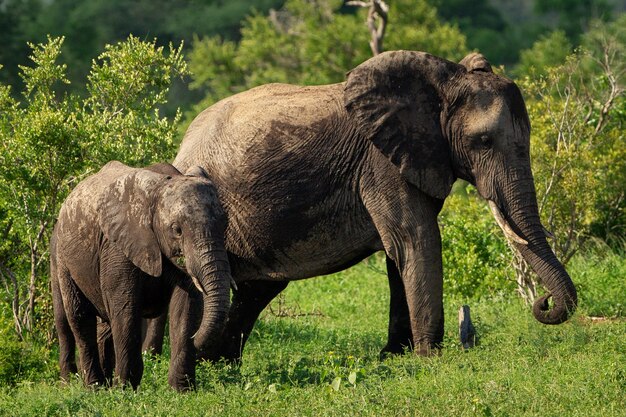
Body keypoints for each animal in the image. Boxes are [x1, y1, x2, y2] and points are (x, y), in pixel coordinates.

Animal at [50, 160, 232, 390]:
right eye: (177, 230)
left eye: (224, 225)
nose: (197, 338)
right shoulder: (117, 247)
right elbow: (126, 309)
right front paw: (125, 390)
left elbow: (186, 307)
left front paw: (182, 390)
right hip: (61, 258)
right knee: (75, 318)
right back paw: (87, 386)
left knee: (103, 326)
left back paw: (104, 384)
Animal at [167, 50, 576, 360]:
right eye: (484, 141)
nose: (542, 303)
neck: (443, 81)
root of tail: (183, 147)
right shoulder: (382, 164)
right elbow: (416, 239)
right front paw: (429, 359)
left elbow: (401, 254)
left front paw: (395, 356)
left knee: (258, 289)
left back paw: (218, 362)